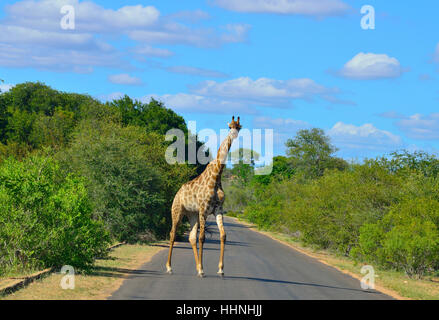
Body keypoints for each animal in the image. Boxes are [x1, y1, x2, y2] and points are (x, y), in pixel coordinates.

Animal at [166, 115, 242, 278]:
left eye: (239, 127)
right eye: (229, 126)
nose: (233, 135)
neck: (216, 176)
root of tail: (177, 193)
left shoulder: (218, 209)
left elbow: (223, 235)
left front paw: (220, 269)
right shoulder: (204, 210)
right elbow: (202, 238)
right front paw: (202, 270)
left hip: (192, 214)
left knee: (191, 237)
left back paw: (196, 266)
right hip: (177, 211)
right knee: (172, 233)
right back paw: (169, 267)